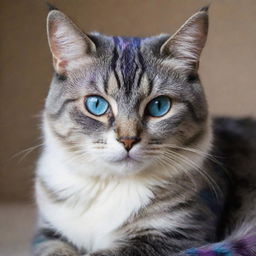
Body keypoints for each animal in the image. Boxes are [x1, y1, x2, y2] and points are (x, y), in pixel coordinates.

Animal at [32, 5, 256, 256]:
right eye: (96, 104)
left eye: (159, 106)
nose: (128, 140)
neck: (112, 185)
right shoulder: (47, 232)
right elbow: (55, 249)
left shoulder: (177, 234)